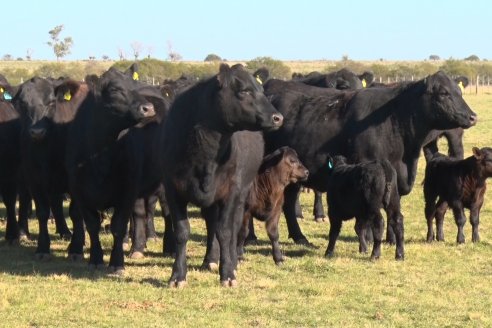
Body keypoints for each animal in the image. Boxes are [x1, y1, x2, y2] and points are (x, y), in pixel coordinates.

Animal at [162, 63, 282, 288]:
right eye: (244, 91)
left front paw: (227, 274)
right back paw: (209, 260)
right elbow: (182, 232)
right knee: (211, 225)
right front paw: (177, 276)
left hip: (241, 195)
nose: (278, 118)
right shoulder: (172, 190)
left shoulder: (231, 192)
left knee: (233, 229)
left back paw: (232, 262)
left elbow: (225, 232)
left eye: (261, 90)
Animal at [266, 72, 476, 246]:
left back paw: (299, 237)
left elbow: (392, 208)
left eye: (459, 91)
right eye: (443, 93)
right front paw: (367, 238)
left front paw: (391, 239)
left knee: (289, 202)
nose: (472, 116)